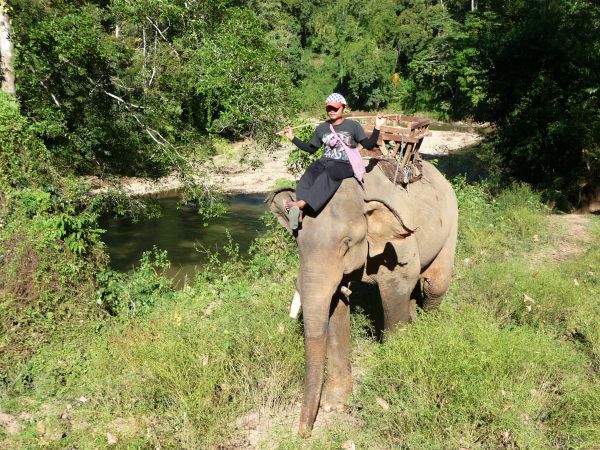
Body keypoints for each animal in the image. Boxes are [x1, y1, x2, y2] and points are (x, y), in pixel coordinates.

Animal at [264, 158, 458, 436]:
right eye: (297, 240)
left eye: (346, 242)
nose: (303, 432)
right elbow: (336, 310)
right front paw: (335, 406)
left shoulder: (398, 246)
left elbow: (396, 290)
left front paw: (392, 390)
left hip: (451, 222)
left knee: (435, 285)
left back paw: (430, 332)